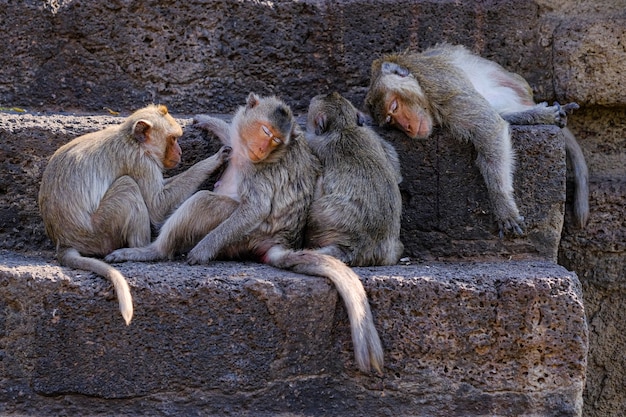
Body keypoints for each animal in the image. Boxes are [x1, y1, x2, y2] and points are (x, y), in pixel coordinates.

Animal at [37, 105, 230, 324]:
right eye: (173, 139)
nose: (180, 151)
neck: (130, 140)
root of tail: (63, 241)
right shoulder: (139, 161)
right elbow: (157, 206)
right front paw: (215, 159)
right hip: (99, 233)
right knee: (128, 186)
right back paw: (143, 249)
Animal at [105, 94, 382, 374]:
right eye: (266, 132)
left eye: (276, 141)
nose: (261, 149)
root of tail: (279, 242)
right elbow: (231, 137)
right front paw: (209, 122)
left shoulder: (261, 170)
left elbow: (255, 208)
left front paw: (203, 250)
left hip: (247, 236)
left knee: (204, 202)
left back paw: (153, 251)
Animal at [304, 91, 404, 266]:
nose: (329, 92)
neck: (345, 126)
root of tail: (363, 247)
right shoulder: (371, 134)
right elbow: (395, 168)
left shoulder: (314, 142)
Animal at [364, 44, 588, 236]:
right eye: (391, 122)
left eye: (394, 106)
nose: (407, 127)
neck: (424, 92)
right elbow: (491, 125)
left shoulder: (440, 85)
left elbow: (489, 128)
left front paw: (502, 203)